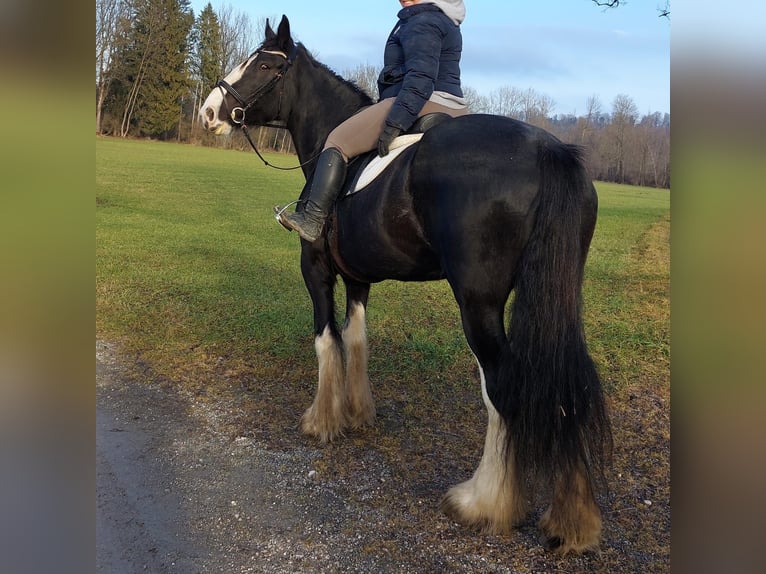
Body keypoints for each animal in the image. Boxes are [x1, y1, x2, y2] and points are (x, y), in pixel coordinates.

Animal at [200, 16, 611, 554]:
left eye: (266, 66)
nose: (209, 111)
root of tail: (550, 148)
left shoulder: (316, 271)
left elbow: (326, 340)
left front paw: (322, 420)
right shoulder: (358, 278)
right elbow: (356, 338)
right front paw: (357, 412)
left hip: (477, 303)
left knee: (502, 388)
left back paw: (483, 502)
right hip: (555, 300)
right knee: (566, 382)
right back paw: (573, 522)